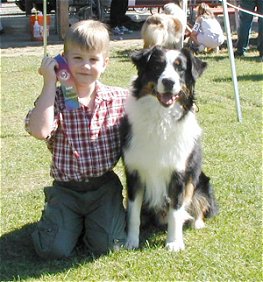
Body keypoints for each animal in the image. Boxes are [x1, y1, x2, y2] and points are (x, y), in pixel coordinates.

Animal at [122, 46, 220, 251]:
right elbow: (133, 213)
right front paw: (131, 241)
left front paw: (174, 243)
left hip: (201, 182)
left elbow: (176, 212)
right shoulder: (134, 173)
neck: (161, 119)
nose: (168, 82)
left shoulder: (179, 175)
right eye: (157, 66)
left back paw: (197, 222)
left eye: (180, 69)